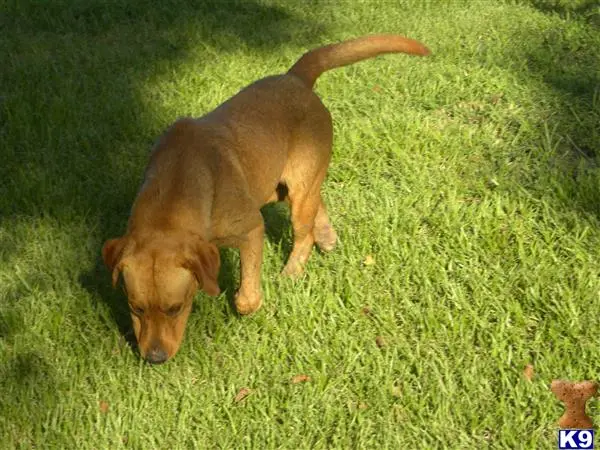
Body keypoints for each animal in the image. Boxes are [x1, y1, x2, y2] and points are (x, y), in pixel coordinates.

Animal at [104, 34, 432, 362]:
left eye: (176, 308)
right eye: (135, 308)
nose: (154, 358)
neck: (176, 184)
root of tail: (296, 77)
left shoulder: (251, 228)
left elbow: (245, 296)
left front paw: (250, 302)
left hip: (297, 193)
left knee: (304, 234)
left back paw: (292, 272)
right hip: (282, 187)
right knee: (317, 203)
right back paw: (326, 236)